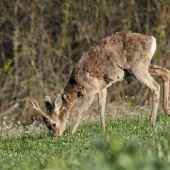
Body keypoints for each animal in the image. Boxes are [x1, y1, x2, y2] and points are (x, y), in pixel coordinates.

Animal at [29, 31, 170, 137]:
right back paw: (167, 111)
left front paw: (72, 133)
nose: (56, 136)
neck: (76, 85)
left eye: (53, 123)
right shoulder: (101, 87)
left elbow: (80, 112)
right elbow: (101, 108)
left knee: (155, 86)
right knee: (165, 72)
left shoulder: (89, 89)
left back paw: (152, 121)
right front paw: (103, 129)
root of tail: (152, 39)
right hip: (143, 66)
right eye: (46, 125)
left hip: (138, 66)